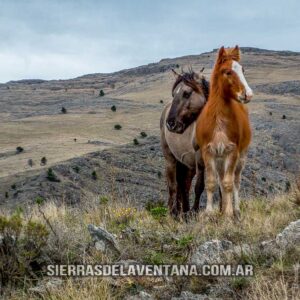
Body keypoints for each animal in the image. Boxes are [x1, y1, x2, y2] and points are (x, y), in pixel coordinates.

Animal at [161, 69, 210, 217]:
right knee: (173, 186)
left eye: (187, 93)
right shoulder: (200, 159)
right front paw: (195, 211)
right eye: (173, 94)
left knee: (184, 185)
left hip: (188, 165)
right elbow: (199, 186)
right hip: (170, 159)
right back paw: (173, 212)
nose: (171, 124)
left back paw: (183, 212)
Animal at [196, 45, 252, 217]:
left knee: (235, 182)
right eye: (227, 72)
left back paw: (236, 209)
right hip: (219, 159)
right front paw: (209, 213)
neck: (219, 122)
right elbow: (211, 183)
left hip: (240, 158)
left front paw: (228, 213)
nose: (248, 94)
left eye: (242, 69)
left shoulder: (232, 152)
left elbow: (228, 184)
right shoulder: (208, 152)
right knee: (221, 181)